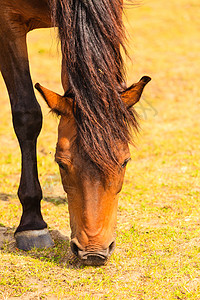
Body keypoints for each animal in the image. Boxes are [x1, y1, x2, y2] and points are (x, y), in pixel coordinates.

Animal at [0, 0, 150, 268]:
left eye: (125, 162)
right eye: (60, 163)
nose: (93, 252)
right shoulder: (7, 23)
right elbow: (27, 115)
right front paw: (31, 224)